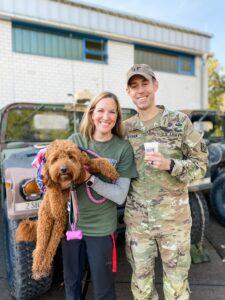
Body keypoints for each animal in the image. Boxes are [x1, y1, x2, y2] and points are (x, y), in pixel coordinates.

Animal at [15, 139, 118, 280]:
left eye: (70, 156)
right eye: (55, 159)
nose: (63, 169)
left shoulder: (82, 170)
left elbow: (97, 161)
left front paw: (111, 171)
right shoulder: (55, 198)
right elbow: (54, 192)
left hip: (59, 225)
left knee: (51, 247)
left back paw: (44, 266)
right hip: (45, 222)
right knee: (40, 247)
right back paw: (38, 268)